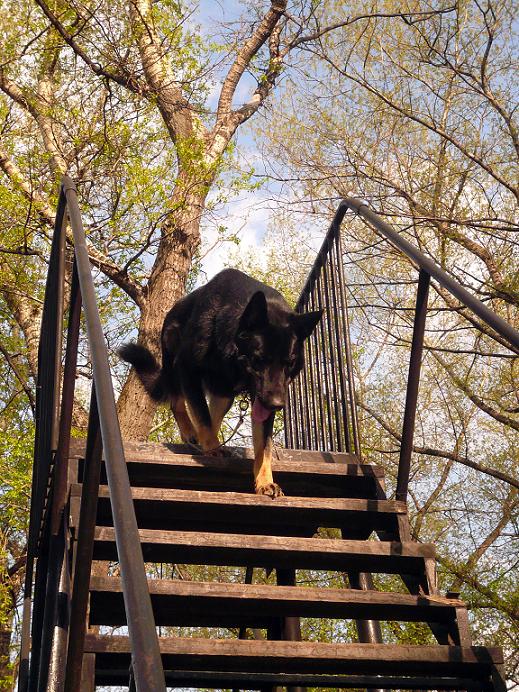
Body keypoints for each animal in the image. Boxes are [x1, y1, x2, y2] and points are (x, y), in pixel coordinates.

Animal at [120, 266, 322, 498]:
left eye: (289, 363)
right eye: (259, 359)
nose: (277, 405)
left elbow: (264, 446)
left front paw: (265, 482)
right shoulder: (188, 368)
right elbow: (202, 416)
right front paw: (212, 449)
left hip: (224, 394)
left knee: (211, 413)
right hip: (175, 361)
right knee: (178, 402)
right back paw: (193, 434)